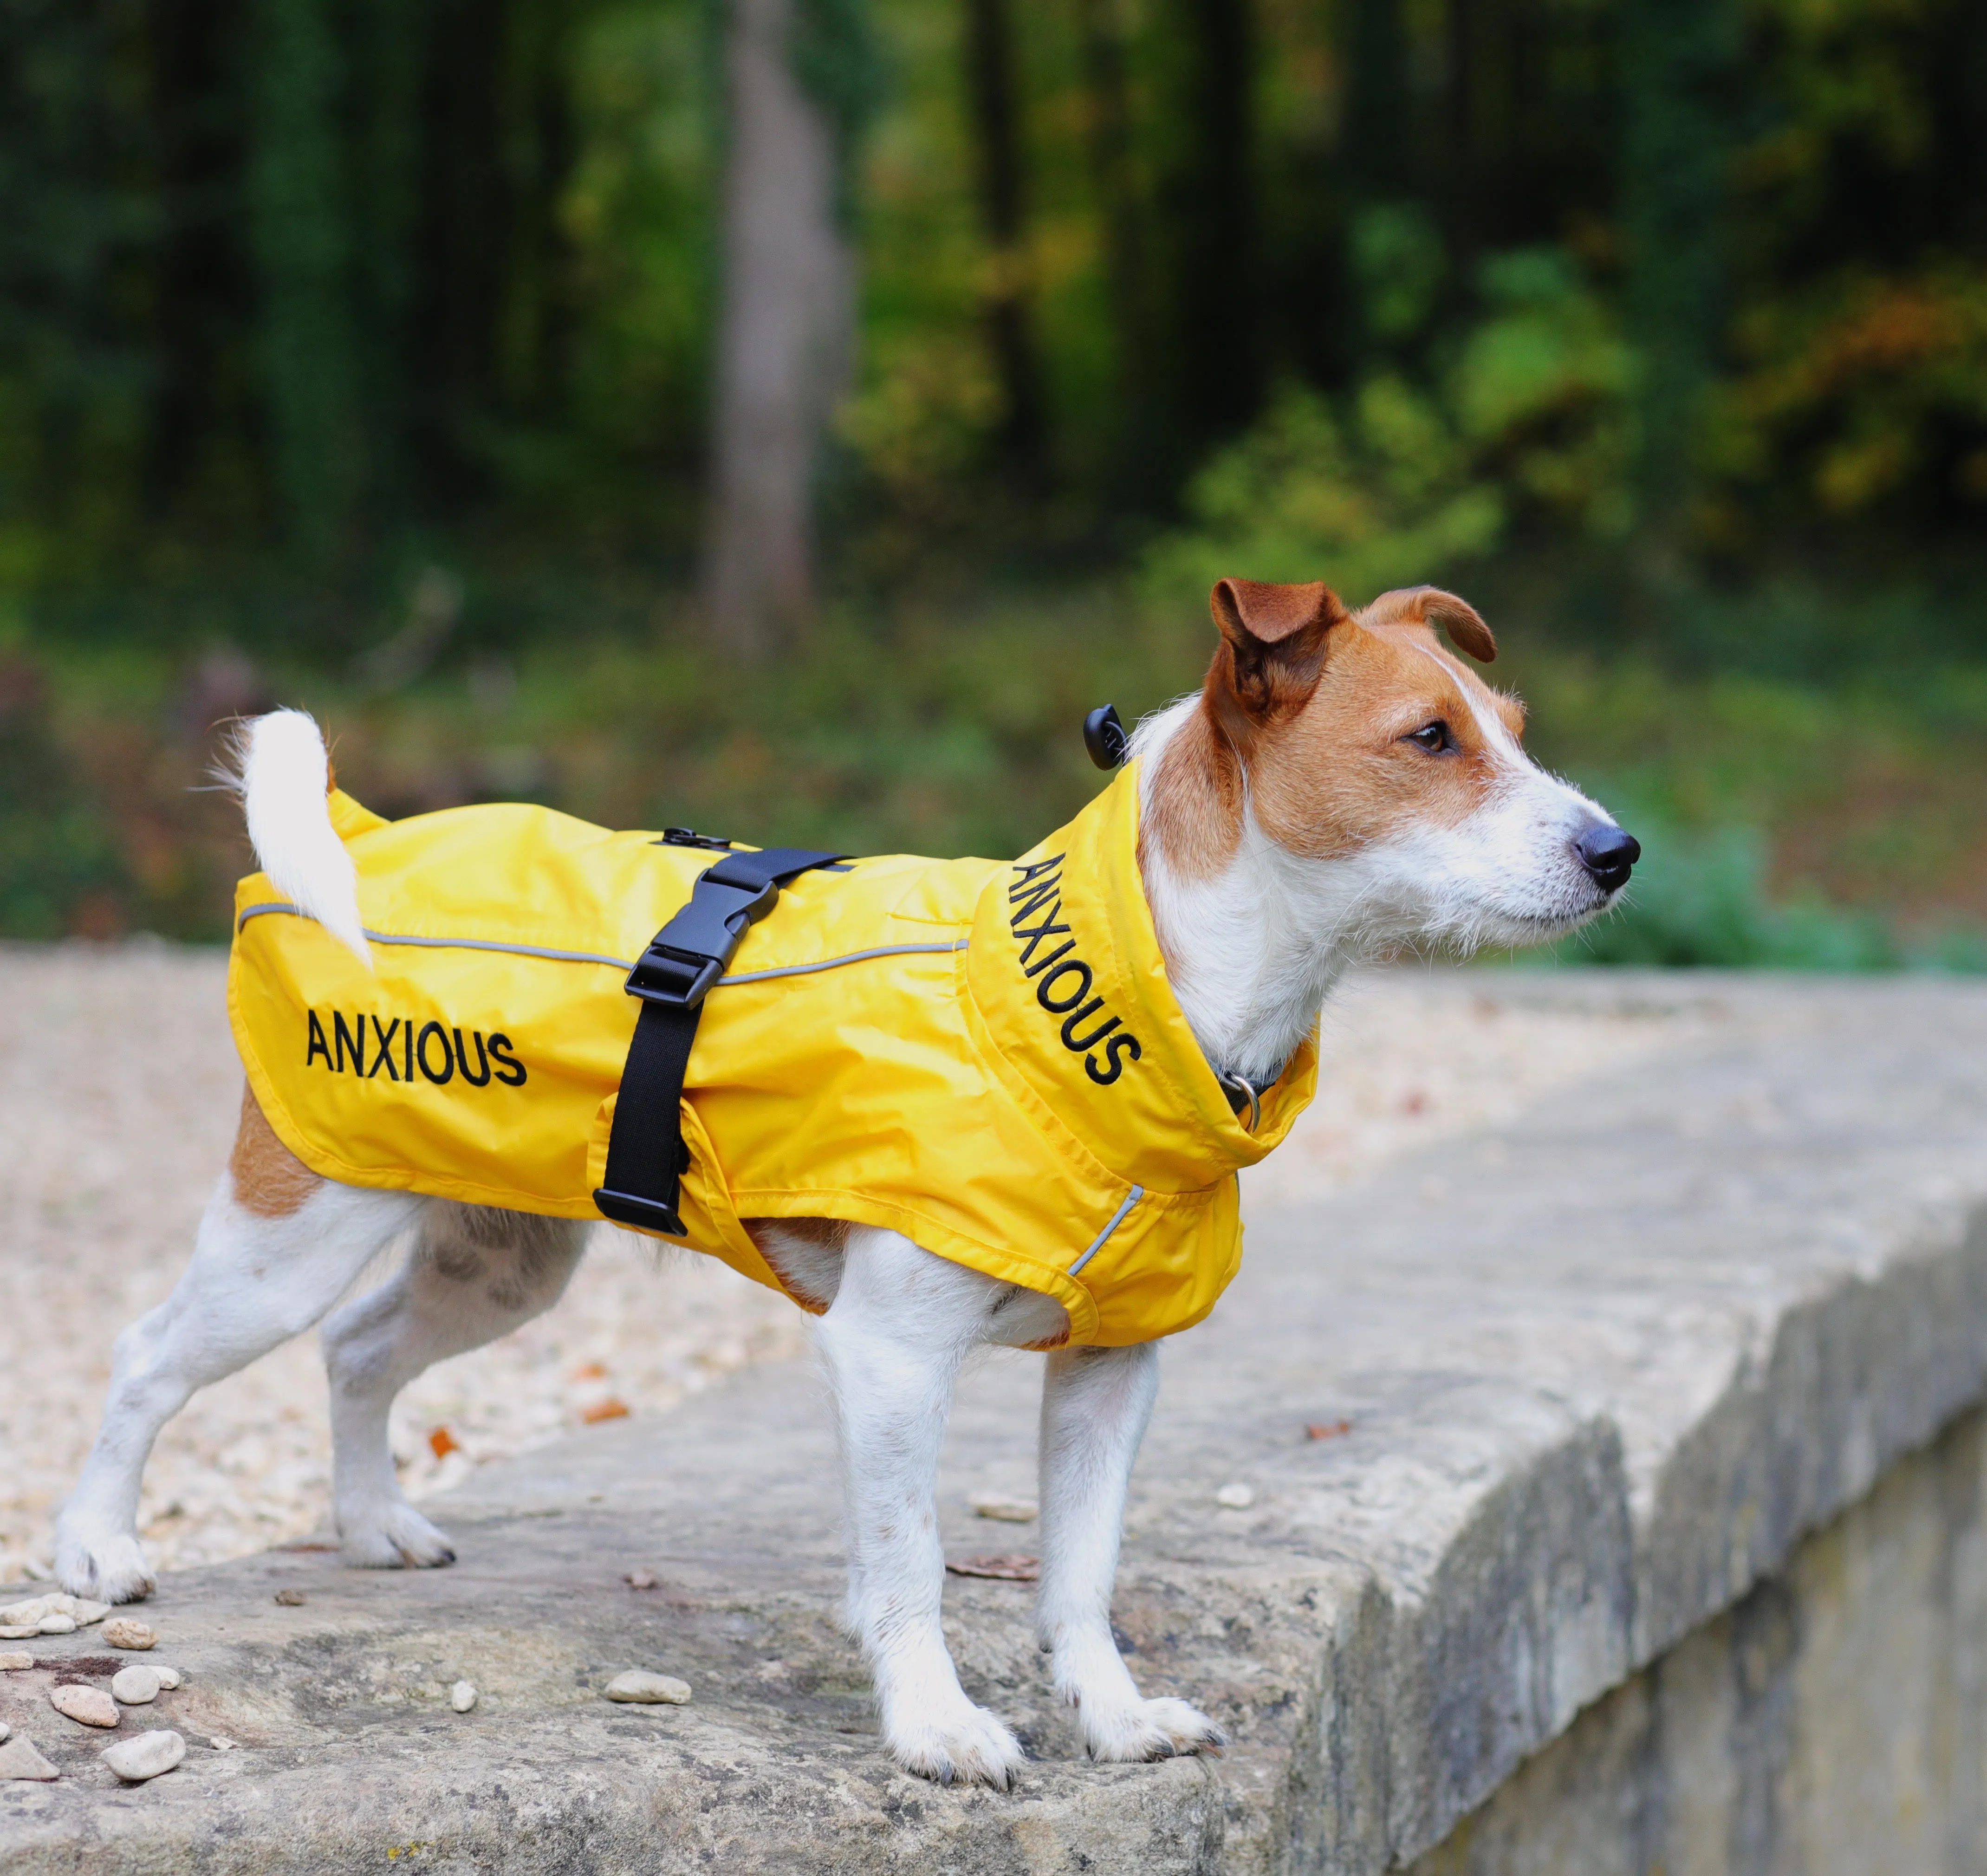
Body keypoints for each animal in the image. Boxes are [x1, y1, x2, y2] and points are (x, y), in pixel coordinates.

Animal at [54, 576, 1637, 1788]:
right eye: (1429, 738)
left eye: (1512, 732)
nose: (1617, 851)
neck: (1122, 1011)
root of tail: (363, 837)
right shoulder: (888, 1359)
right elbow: (908, 1562)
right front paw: (935, 1728)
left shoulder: (1112, 1374)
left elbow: (1080, 1575)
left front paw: (1111, 1718)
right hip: (290, 1235)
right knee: (147, 1354)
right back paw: (93, 1549)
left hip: (498, 1259)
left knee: (362, 1349)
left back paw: (371, 1524)